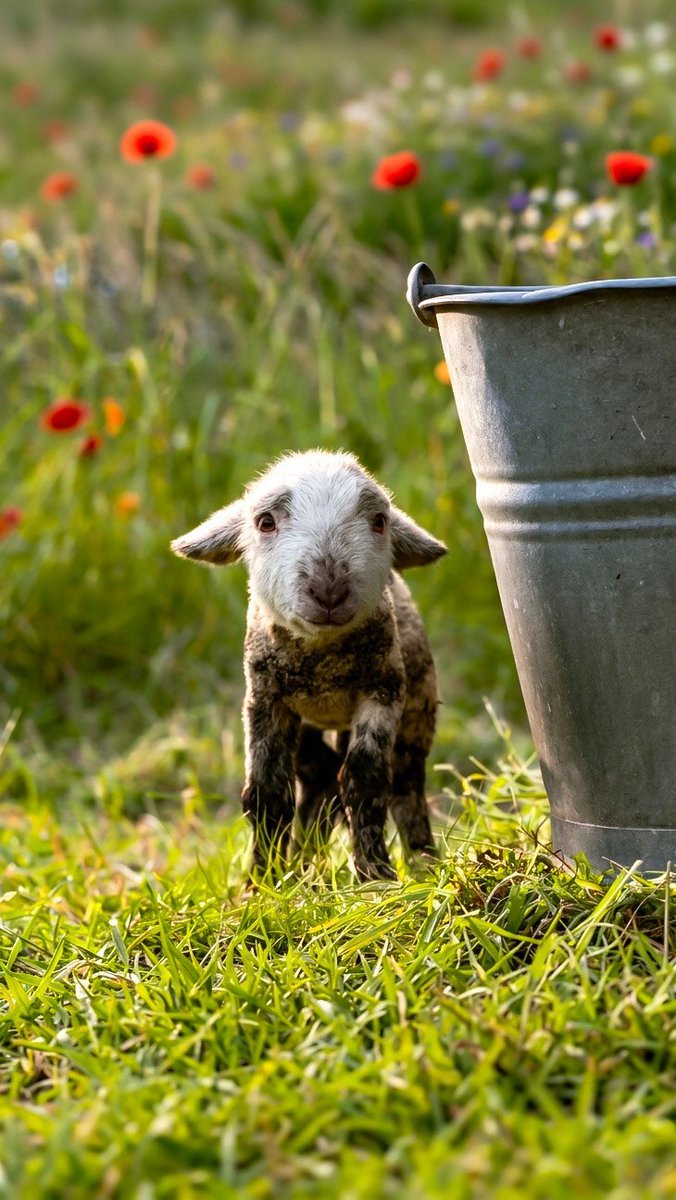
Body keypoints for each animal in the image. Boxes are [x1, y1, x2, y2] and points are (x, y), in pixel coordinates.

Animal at [171, 450, 446, 881]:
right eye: (265, 522)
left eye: (379, 522)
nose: (328, 590)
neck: (322, 662)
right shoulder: (265, 700)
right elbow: (267, 791)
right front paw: (263, 881)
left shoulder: (384, 689)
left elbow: (365, 779)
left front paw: (375, 875)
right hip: (307, 730)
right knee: (317, 781)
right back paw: (304, 868)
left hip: (417, 712)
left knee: (405, 786)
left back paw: (423, 865)